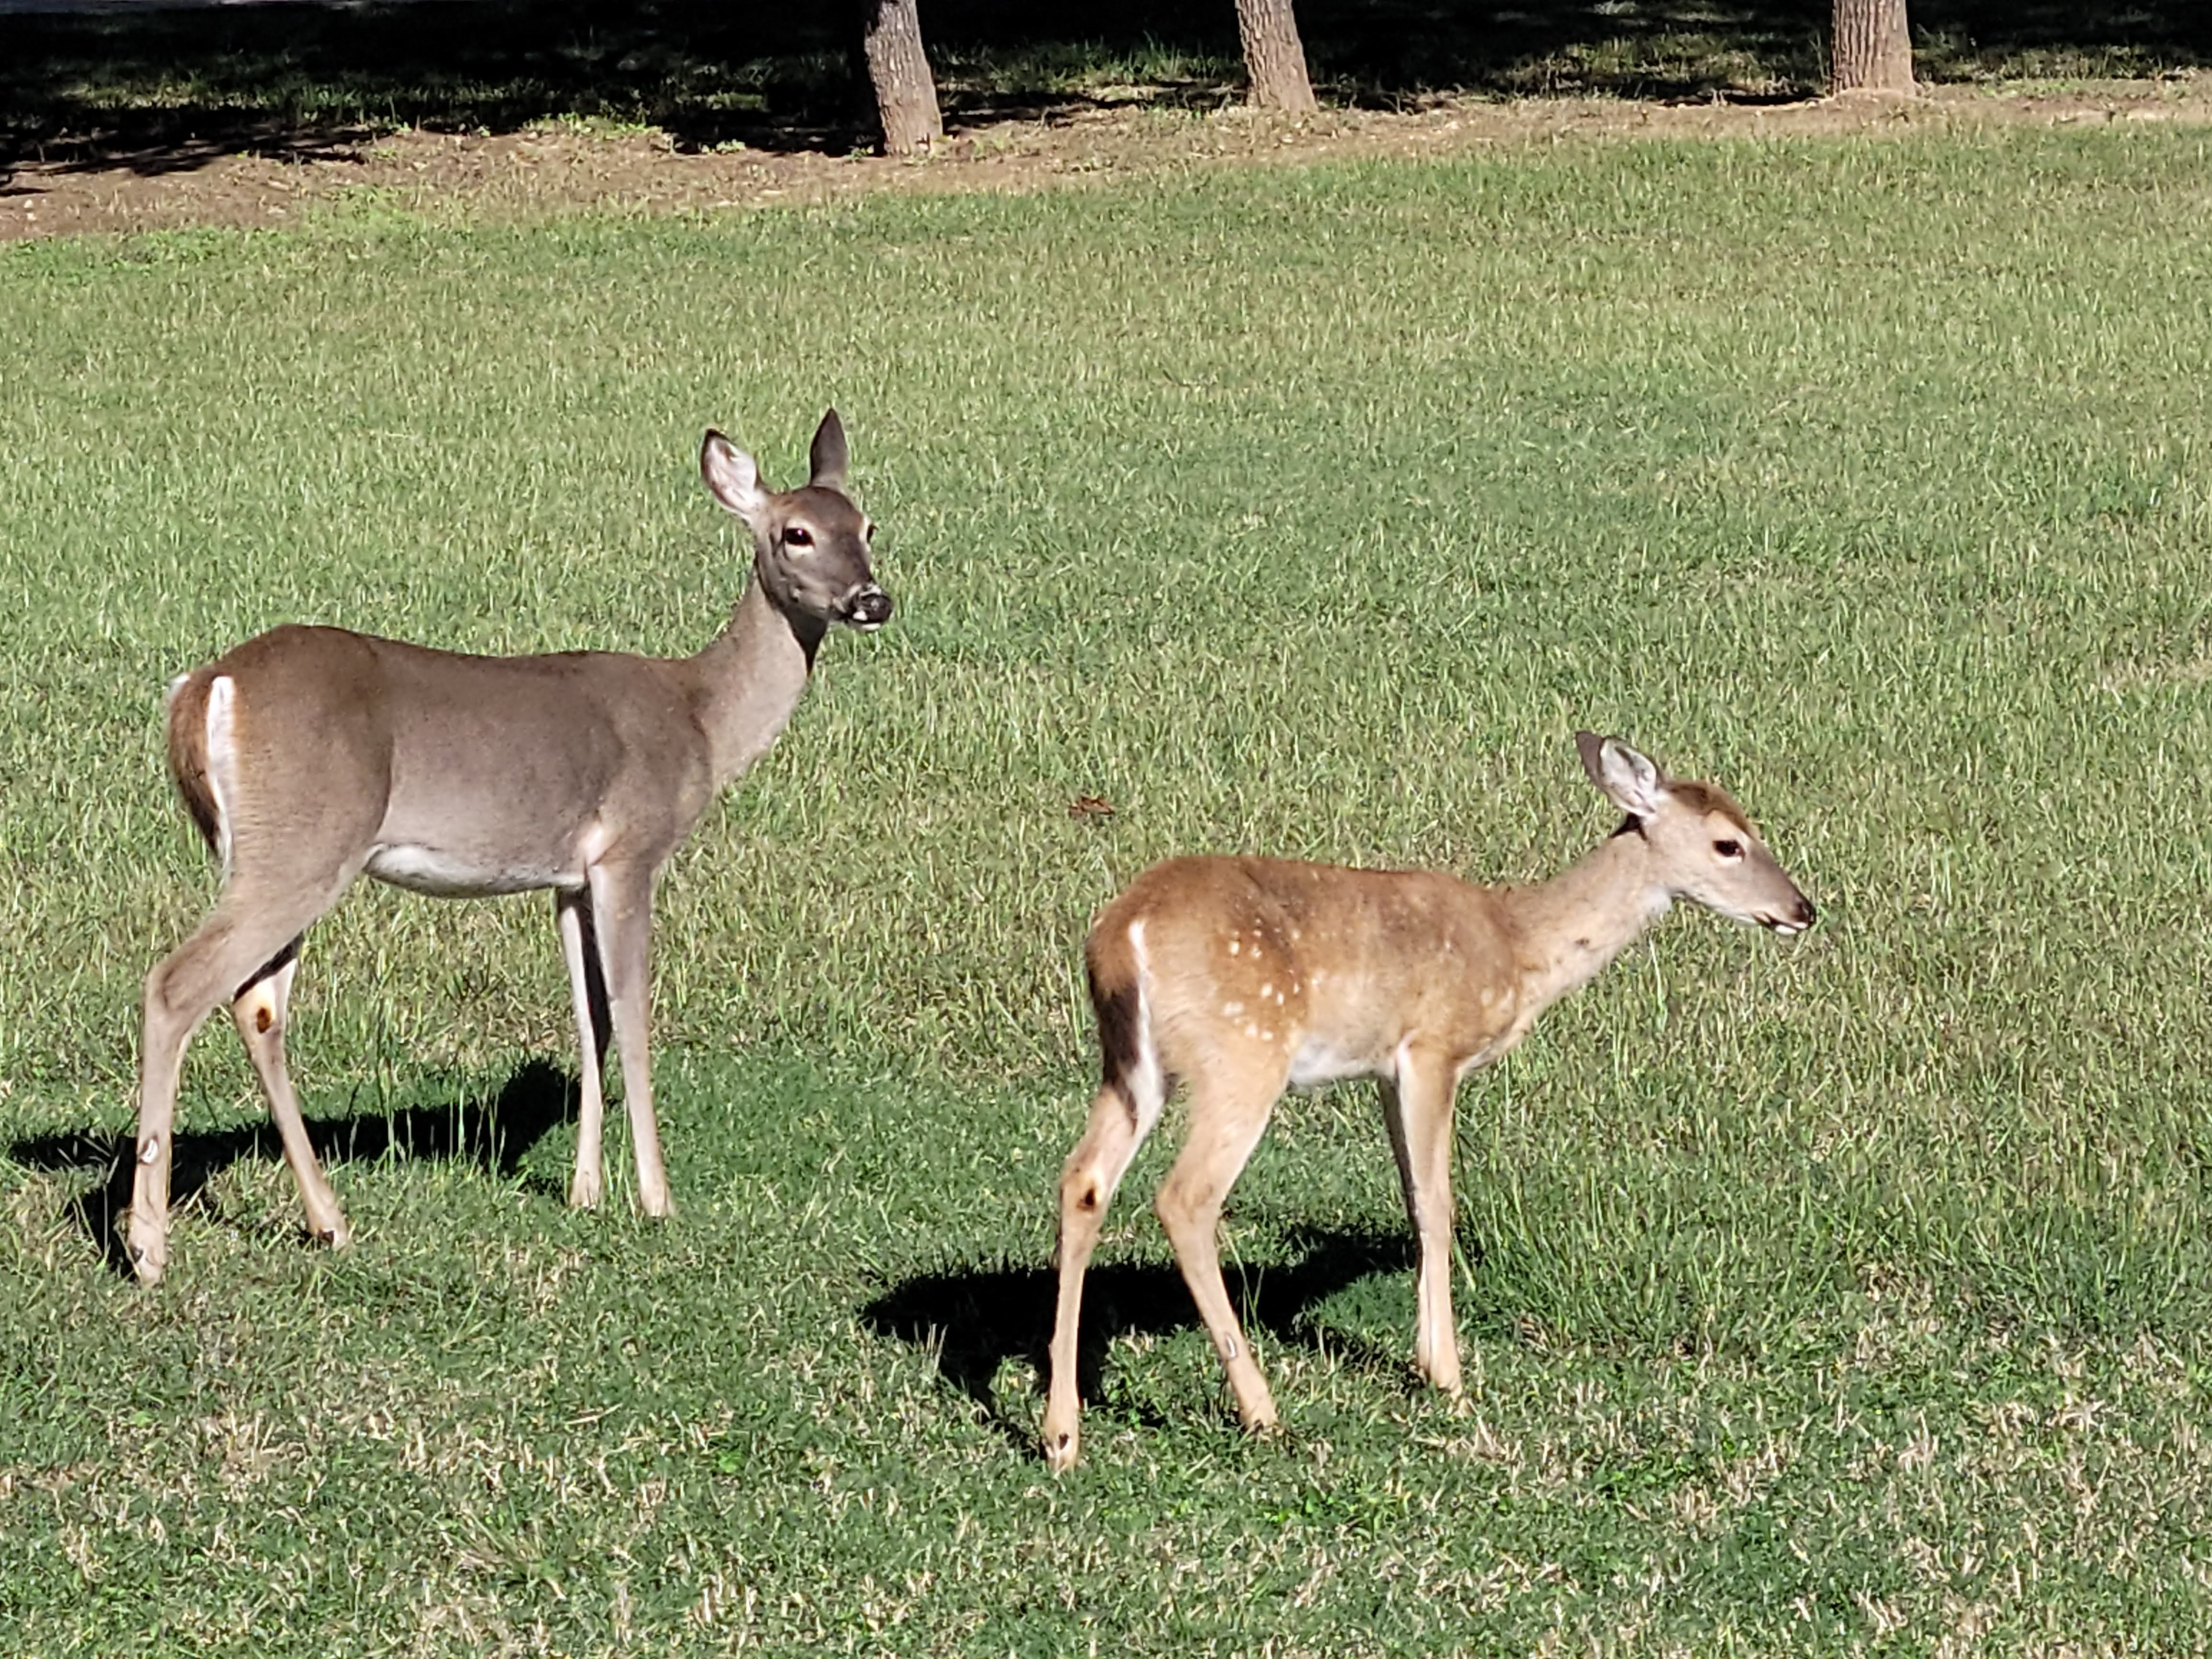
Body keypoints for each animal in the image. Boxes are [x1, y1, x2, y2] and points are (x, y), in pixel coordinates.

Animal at [126, 410, 890, 1286]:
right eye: (795, 532)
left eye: (868, 526)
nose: (872, 599)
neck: (700, 719)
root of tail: (201, 688)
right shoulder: (631, 849)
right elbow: (633, 1016)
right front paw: (656, 1199)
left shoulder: (567, 876)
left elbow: (589, 1019)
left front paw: (586, 1191)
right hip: (302, 843)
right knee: (177, 985)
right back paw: (147, 1247)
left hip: (271, 850)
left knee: (256, 1005)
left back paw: (329, 1222)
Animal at [1042, 732, 1815, 1469]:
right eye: (1728, 843)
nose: (1802, 909)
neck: (1518, 948)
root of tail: (1120, 939)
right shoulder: (1433, 1048)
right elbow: (1437, 1203)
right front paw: (1447, 1375)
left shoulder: (1386, 1069)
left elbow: (1413, 1198)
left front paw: (1427, 1357)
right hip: (1242, 1053)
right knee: (1185, 1197)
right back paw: (1260, 1411)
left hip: (1132, 1066)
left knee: (1084, 1178)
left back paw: (1062, 1435)